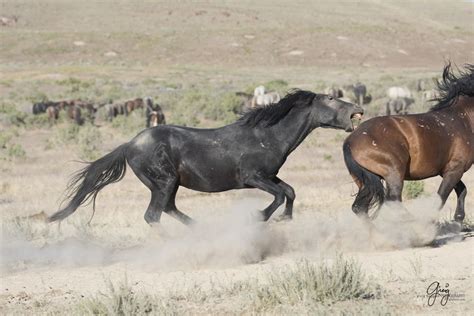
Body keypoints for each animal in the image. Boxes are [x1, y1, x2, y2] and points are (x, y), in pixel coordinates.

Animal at [49, 90, 362, 226]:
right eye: (331, 99)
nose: (357, 109)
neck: (267, 135)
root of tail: (129, 144)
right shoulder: (253, 178)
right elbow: (279, 195)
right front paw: (260, 217)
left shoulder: (270, 176)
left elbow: (290, 191)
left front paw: (285, 218)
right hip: (163, 183)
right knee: (153, 215)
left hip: (169, 185)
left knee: (168, 209)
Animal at [344, 63, 474, 222]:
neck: (464, 118)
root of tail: (350, 141)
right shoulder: (454, 169)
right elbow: (440, 199)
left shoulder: (448, 170)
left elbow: (462, 190)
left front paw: (458, 219)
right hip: (393, 173)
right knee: (393, 201)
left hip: (366, 180)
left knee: (359, 208)